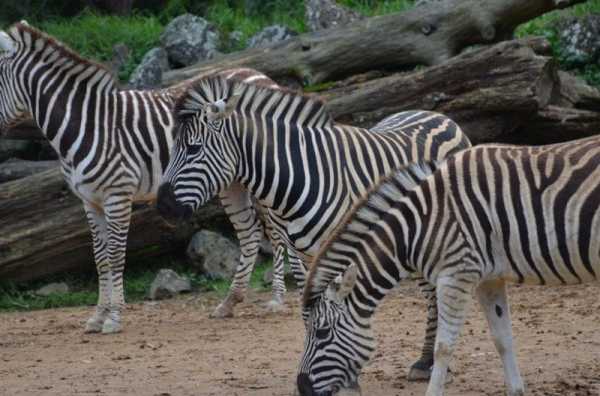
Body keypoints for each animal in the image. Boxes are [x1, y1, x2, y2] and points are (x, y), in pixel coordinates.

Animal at [0, 23, 290, 334]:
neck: (86, 126)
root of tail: (259, 74)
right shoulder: (90, 201)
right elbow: (100, 258)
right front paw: (97, 316)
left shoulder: (118, 196)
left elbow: (116, 255)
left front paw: (114, 317)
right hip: (232, 181)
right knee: (251, 232)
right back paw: (229, 302)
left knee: (276, 231)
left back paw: (277, 299)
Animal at [156, 72, 474, 378]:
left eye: (194, 149)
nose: (162, 206)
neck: (298, 176)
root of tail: (438, 115)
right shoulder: (308, 256)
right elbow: (311, 310)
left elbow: (343, 310)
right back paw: (424, 361)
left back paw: (432, 363)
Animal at [298, 136, 600, 396]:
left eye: (322, 333)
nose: (301, 389)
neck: (420, 223)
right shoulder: (488, 279)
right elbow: (503, 338)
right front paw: (515, 390)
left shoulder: (456, 274)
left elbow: (443, 347)